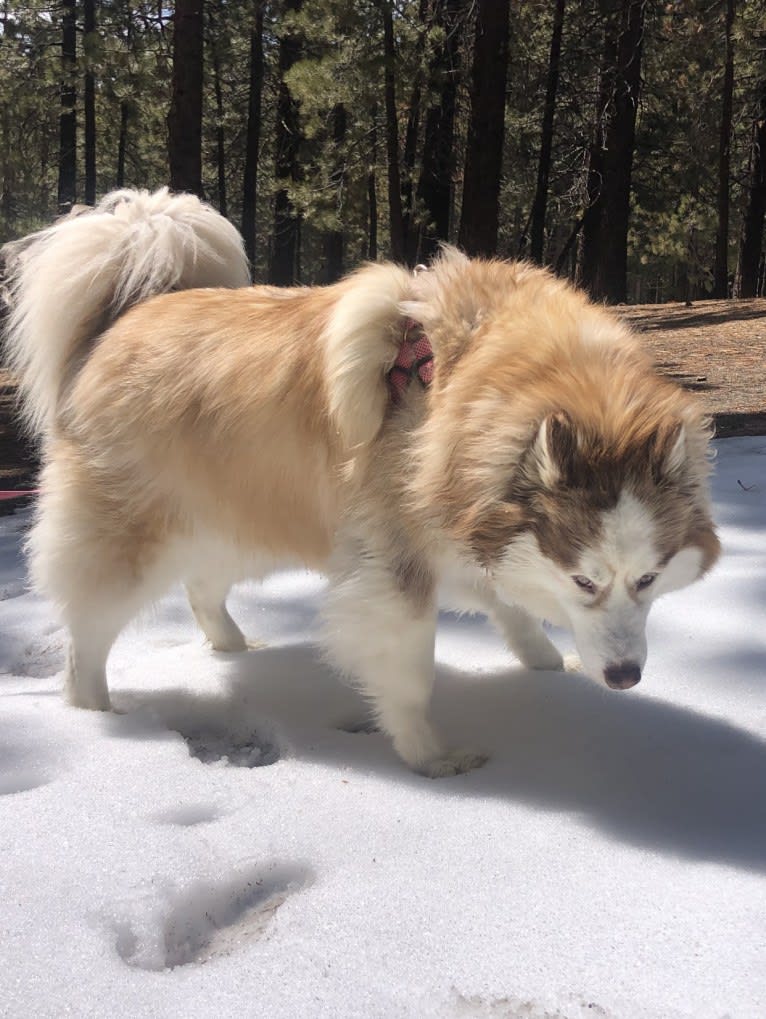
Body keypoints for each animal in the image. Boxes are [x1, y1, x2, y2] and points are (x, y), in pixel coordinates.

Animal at [2, 191, 717, 774]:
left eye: (649, 578)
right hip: (134, 541)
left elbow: (510, 604)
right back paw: (96, 714)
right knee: (88, 636)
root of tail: (128, 317)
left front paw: (544, 663)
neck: (454, 385)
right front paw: (431, 758)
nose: (624, 678)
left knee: (203, 588)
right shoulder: (396, 566)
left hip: (245, 517)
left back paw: (235, 647)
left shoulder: (466, 532)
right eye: (584, 581)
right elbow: (411, 674)